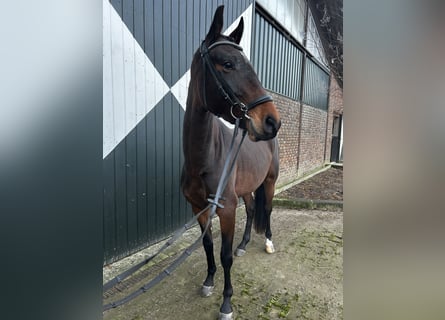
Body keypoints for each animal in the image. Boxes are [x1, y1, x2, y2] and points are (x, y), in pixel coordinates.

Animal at [180, 5, 278, 320]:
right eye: (227, 63)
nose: (271, 121)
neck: (204, 158)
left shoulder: (226, 209)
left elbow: (224, 254)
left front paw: (226, 303)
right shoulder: (199, 207)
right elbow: (208, 245)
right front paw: (209, 282)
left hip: (269, 182)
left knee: (267, 209)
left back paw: (268, 242)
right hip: (247, 188)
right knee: (253, 208)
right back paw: (244, 245)